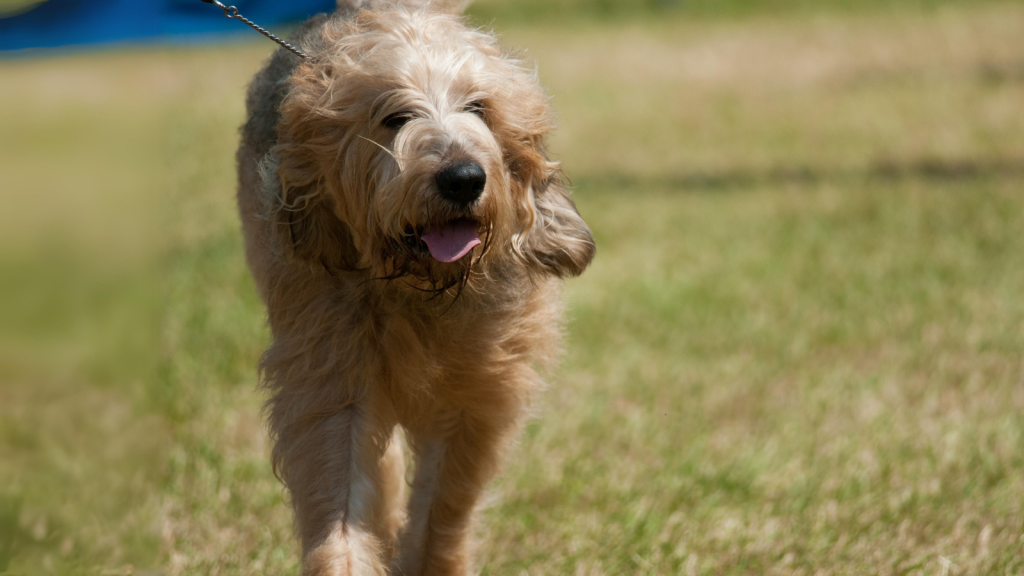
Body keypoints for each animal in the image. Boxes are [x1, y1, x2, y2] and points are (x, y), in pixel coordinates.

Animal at [235, 2, 598, 569]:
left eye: (478, 107)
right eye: (394, 117)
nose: (463, 179)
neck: (420, 286)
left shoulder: (480, 394)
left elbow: (444, 502)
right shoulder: (331, 379)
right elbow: (341, 500)